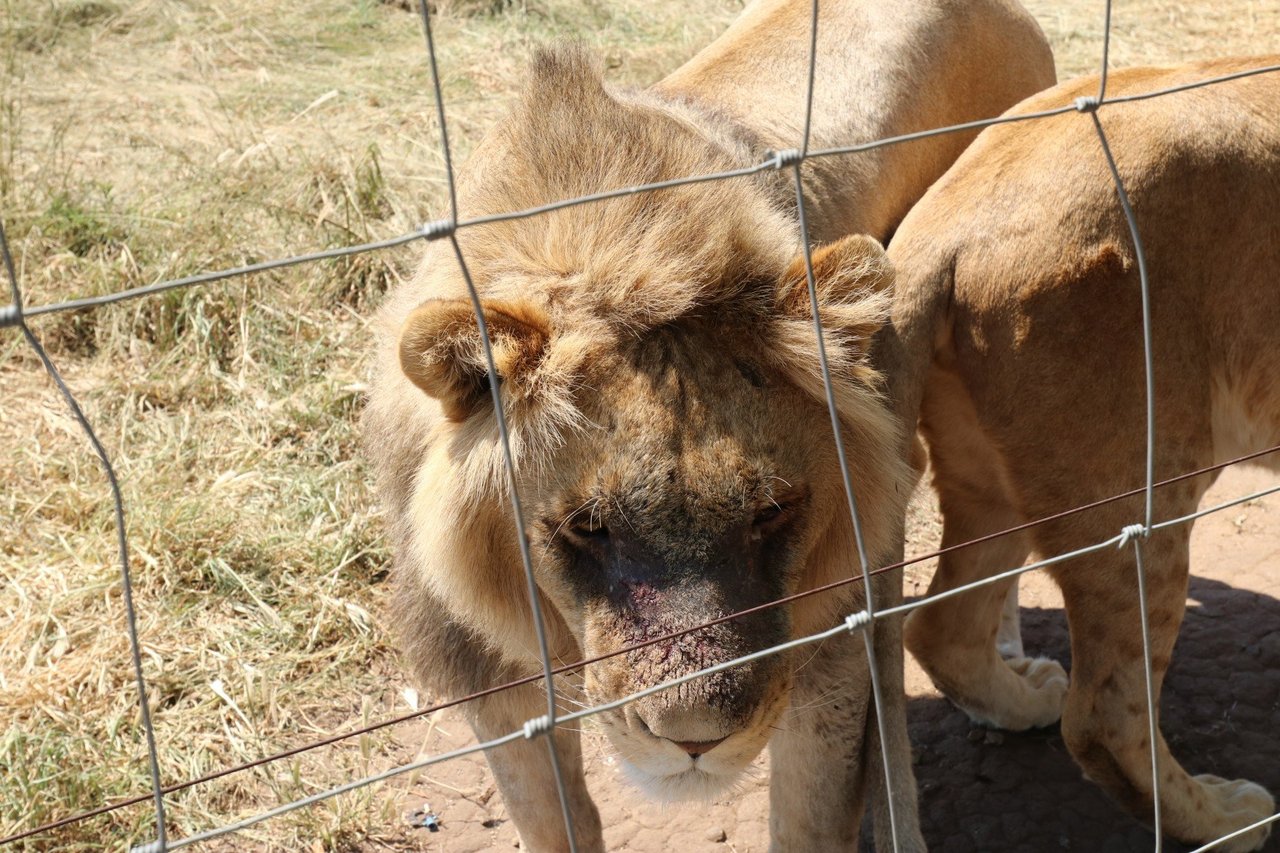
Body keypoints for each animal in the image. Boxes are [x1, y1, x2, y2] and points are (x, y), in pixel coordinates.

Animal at [366, 0, 1054, 845]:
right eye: (587, 527)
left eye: (772, 511)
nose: (694, 739)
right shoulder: (493, 687)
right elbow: (553, 821)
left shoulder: (826, 645)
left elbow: (809, 818)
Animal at [875, 56, 1280, 845]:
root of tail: (934, 234)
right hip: (1144, 482)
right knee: (1105, 712)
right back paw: (1225, 819)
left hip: (992, 479)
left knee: (941, 627)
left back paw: (1022, 699)